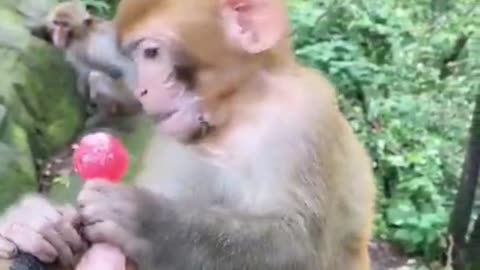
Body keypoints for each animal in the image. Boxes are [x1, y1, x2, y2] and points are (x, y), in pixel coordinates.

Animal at [0, 0, 376, 270]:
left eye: (152, 52)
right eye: (136, 55)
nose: (142, 88)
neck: (231, 117)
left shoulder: (302, 119)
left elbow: (301, 248)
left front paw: (147, 221)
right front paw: (34, 227)